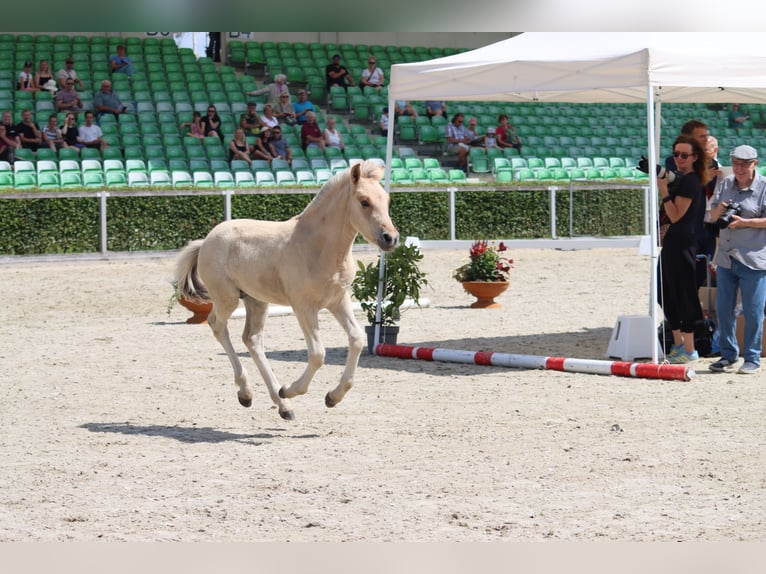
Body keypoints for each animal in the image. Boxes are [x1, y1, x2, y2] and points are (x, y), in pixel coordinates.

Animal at [174, 160, 399, 420]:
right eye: (364, 201)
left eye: (387, 200)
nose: (391, 238)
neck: (319, 247)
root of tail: (206, 240)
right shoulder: (304, 307)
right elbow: (318, 354)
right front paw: (291, 389)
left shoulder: (338, 300)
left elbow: (357, 339)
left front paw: (332, 397)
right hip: (227, 298)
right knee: (217, 325)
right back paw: (248, 392)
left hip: (256, 300)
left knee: (252, 339)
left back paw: (282, 405)